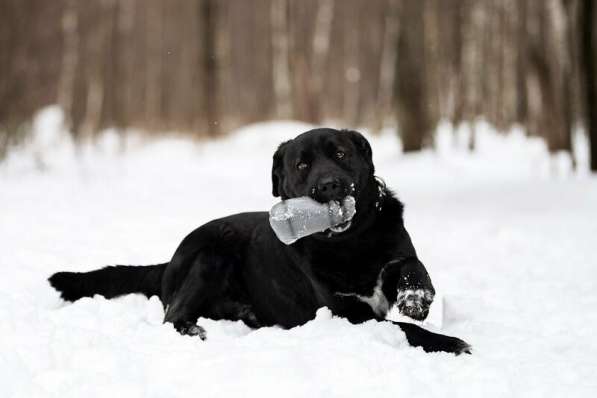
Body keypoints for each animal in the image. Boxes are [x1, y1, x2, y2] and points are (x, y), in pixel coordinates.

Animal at [49, 127, 470, 354]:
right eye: (302, 165)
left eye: (340, 153)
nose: (329, 185)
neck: (348, 243)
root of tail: (168, 262)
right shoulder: (346, 312)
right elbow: (404, 329)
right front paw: (450, 343)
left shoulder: (394, 252)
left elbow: (410, 264)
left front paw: (416, 298)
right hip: (211, 254)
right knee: (173, 315)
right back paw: (195, 329)